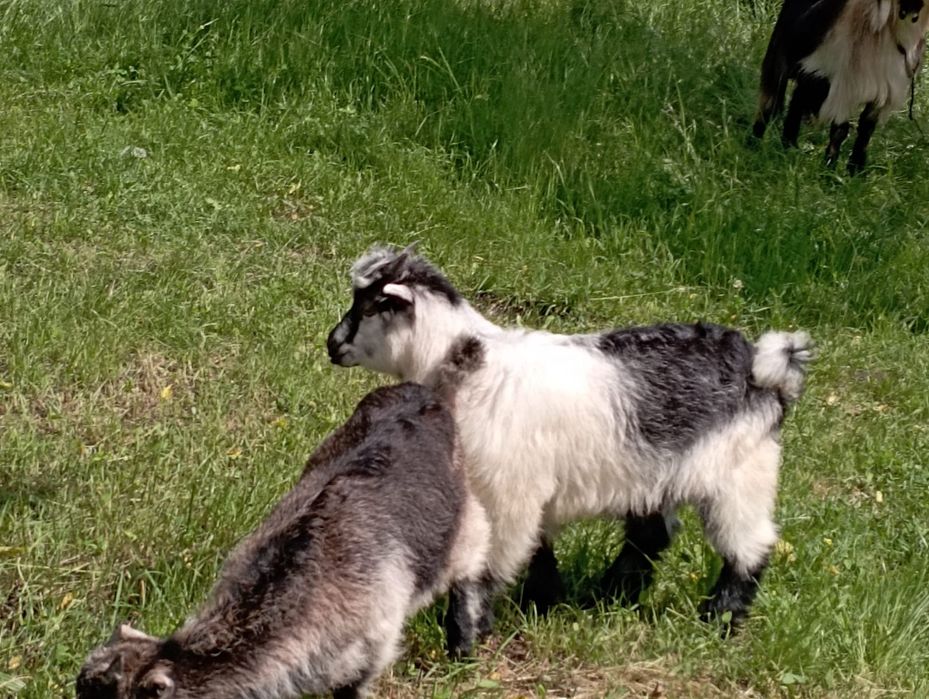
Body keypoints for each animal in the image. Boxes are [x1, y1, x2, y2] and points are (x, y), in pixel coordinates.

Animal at [327, 246, 812, 629]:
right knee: (651, 536)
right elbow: (538, 546)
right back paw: (609, 596)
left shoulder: (508, 490)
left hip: (741, 474)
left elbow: (492, 561)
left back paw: (719, 620)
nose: (332, 344)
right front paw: (543, 601)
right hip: (656, 476)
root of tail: (762, 366)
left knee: (749, 548)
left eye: (369, 308)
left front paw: (468, 631)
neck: (466, 360)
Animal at [753, 0, 929, 173]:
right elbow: (840, 130)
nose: (909, 11)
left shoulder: (883, 91)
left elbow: (866, 128)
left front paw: (856, 170)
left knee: (796, 101)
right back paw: (756, 143)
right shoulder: (842, 85)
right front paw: (830, 171)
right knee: (770, 103)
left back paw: (789, 148)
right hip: (783, 59)